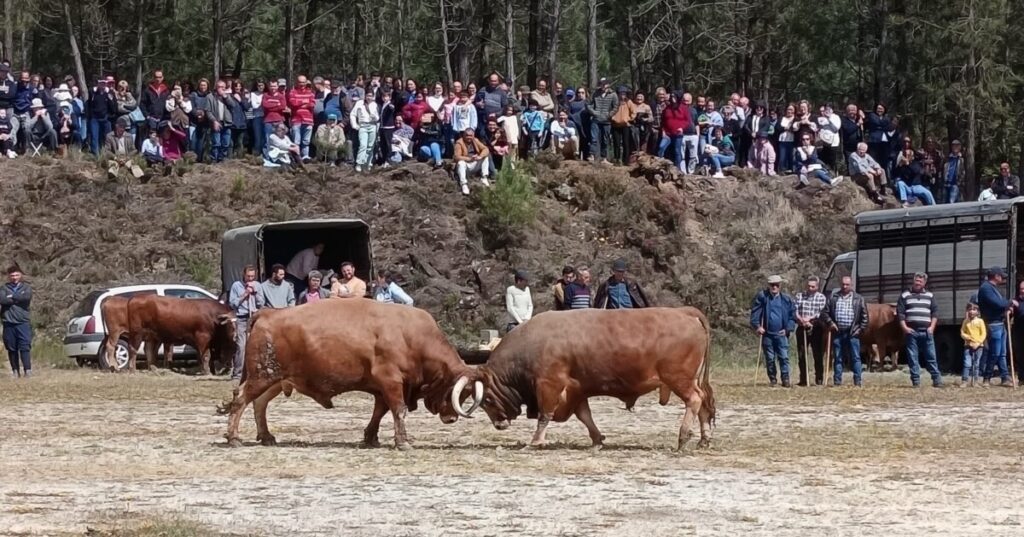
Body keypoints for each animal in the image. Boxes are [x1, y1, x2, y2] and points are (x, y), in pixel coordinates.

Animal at [219, 299, 479, 450]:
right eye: (460, 392)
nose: (452, 418)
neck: (412, 335)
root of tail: (268, 313)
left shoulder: (381, 387)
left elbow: (380, 412)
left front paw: (371, 437)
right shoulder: (391, 381)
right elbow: (398, 410)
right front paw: (402, 441)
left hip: (275, 379)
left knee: (259, 403)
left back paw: (266, 436)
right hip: (262, 376)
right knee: (240, 400)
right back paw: (233, 437)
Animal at [452, 303, 716, 450]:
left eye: (486, 400)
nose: (499, 425)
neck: (531, 345)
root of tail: (684, 312)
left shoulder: (549, 384)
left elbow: (545, 415)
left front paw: (535, 441)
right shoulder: (576, 388)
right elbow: (585, 416)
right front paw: (597, 439)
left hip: (678, 378)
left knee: (694, 399)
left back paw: (683, 436)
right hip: (691, 379)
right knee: (703, 401)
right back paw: (704, 439)